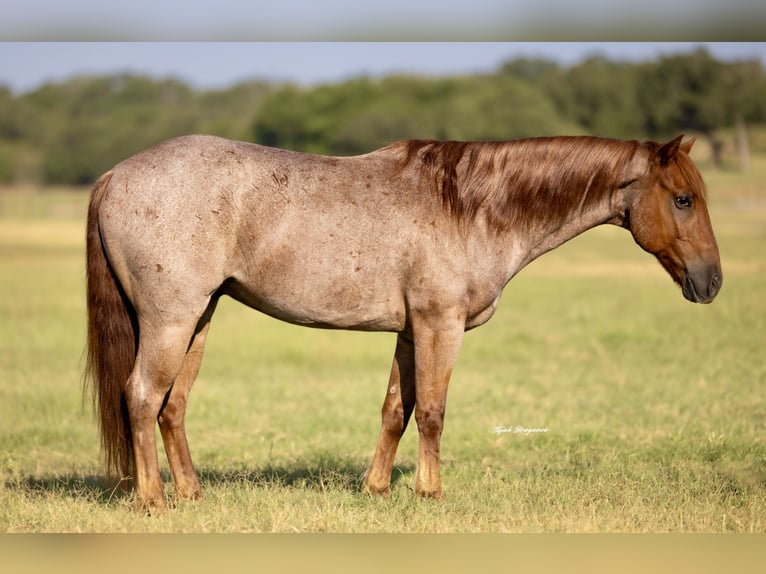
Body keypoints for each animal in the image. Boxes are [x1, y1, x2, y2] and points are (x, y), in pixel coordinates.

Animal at [85, 134, 722, 510]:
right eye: (684, 199)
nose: (712, 281)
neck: (471, 205)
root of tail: (115, 175)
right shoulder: (441, 325)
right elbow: (434, 411)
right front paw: (429, 491)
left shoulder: (411, 331)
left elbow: (397, 408)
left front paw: (377, 488)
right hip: (171, 321)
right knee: (141, 396)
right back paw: (153, 500)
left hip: (199, 319)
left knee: (173, 405)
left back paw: (191, 494)